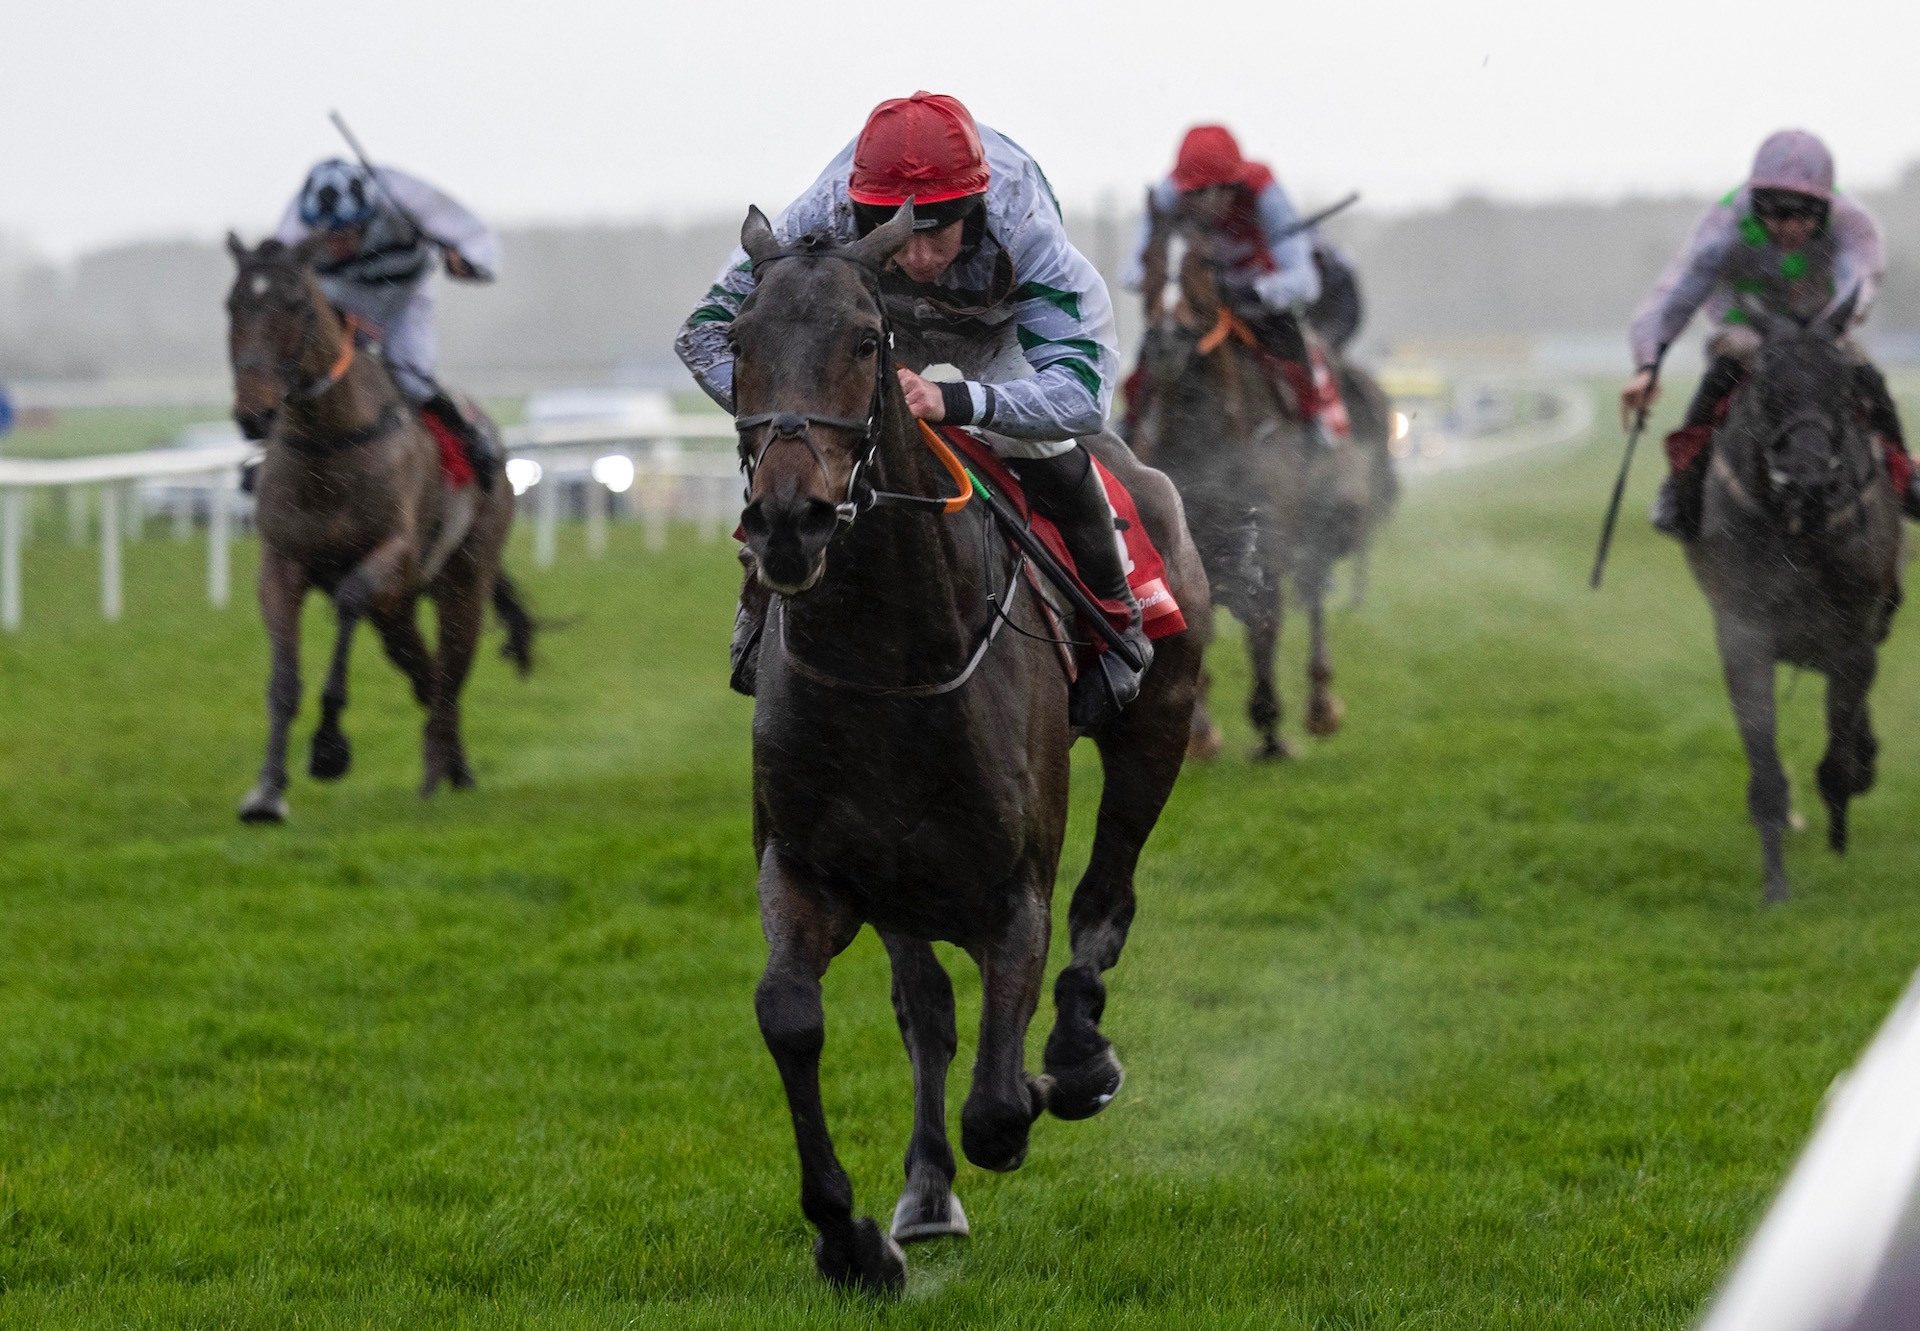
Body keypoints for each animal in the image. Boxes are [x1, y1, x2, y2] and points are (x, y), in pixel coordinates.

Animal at [225, 236, 533, 822]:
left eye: (295, 304)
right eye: (232, 305)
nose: (254, 414)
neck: (329, 443)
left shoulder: (393, 555)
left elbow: (348, 600)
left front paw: (328, 748)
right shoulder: (281, 565)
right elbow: (283, 680)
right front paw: (267, 792)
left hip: (462, 579)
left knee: (451, 671)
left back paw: (441, 775)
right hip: (398, 609)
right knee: (427, 672)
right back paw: (451, 766)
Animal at [725, 205, 1205, 1290]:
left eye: (868, 342)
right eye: (738, 342)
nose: (787, 521)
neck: (889, 660)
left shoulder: (1012, 891)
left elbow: (997, 1102)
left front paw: (1049, 1081)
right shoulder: (812, 868)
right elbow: (795, 1014)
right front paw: (849, 1233)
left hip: (1160, 721)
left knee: (1107, 897)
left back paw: (1078, 1054)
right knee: (928, 1006)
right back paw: (929, 1187)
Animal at [1128, 241, 1390, 756]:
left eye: (1203, 266)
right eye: (1148, 260)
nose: (1166, 343)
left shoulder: (1268, 532)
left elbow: (1265, 621)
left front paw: (1269, 729)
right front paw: (1200, 733)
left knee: (1311, 595)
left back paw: (1319, 707)